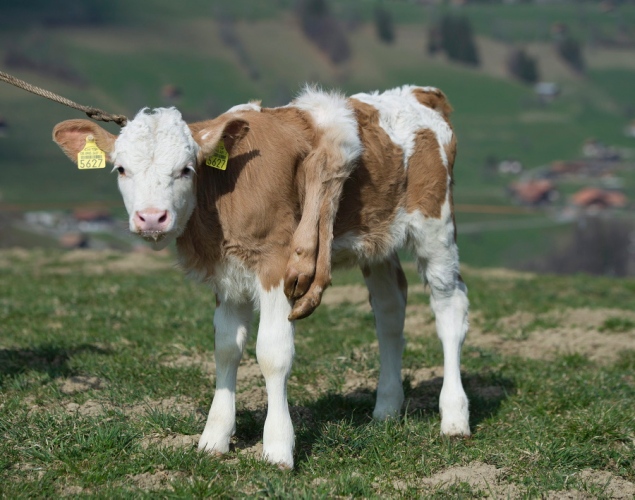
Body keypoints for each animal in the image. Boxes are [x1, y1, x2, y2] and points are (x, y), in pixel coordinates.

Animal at [53, 86, 472, 468]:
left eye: (186, 169)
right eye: (121, 168)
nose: (152, 218)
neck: (223, 191)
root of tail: (417, 92)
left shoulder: (277, 264)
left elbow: (272, 353)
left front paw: (278, 448)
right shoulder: (228, 276)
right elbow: (226, 349)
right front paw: (214, 438)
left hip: (436, 226)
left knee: (449, 308)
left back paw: (454, 416)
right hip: (376, 240)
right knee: (389, 311)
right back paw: (386, 408)